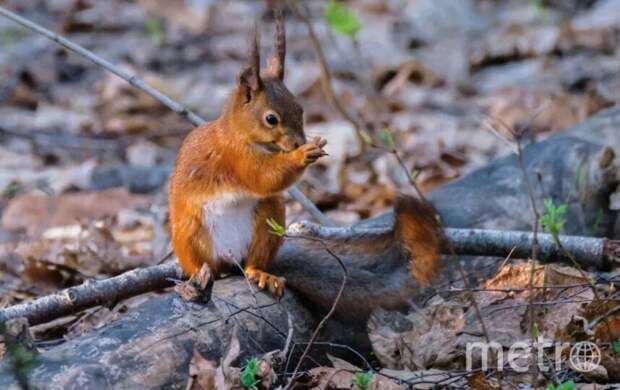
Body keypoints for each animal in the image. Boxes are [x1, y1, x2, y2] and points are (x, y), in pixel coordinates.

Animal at [167, 12, 444, 298]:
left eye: (300, 109)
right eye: (271, 119)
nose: (298, 142)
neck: (240, 133)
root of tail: (230, 261)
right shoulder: (235, 156)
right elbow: (262, 177)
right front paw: (304, 154)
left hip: (269, 219)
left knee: (253, 262)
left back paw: (261, 273)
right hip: (191, 234)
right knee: (202, 264)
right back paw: (196, 279)